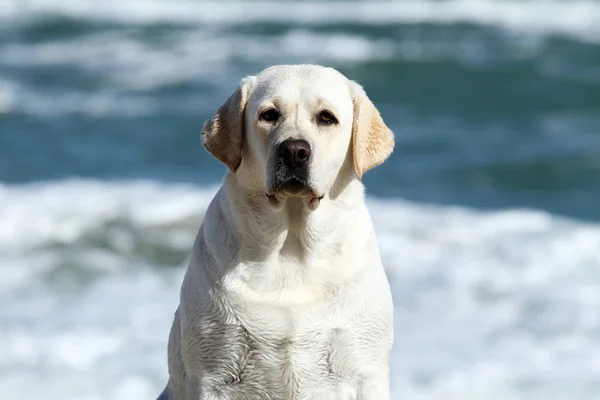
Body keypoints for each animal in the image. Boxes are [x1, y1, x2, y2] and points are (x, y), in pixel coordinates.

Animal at [157, 64, 396, 398]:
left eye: (327, 117)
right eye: (269, 114)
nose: (294, 150)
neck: (290, 248)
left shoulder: (365, 370)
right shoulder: (211, 375)